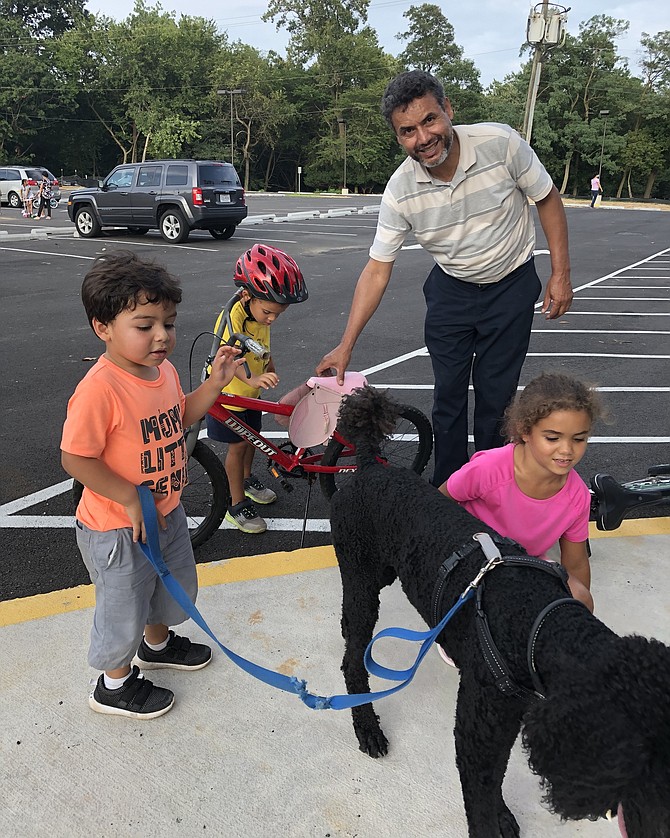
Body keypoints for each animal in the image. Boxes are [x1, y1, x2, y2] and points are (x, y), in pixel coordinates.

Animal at [330, 388, 670, 838]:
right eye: (646, 764)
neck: (542, 625)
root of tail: (370, 463)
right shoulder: (479, 728)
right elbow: (480, 798)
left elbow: (496, 782)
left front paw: (505, 812)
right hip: (361, 580)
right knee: (353, 654)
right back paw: (367, 726)